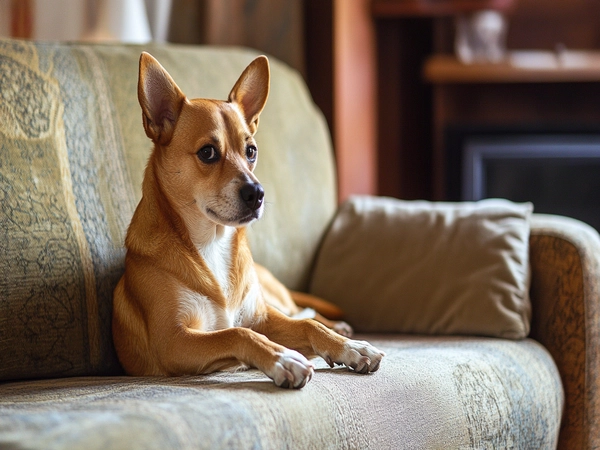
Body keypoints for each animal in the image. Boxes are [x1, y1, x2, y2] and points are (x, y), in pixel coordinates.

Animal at [112, 52, 384, 388]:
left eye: (251, 151)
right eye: (207, 152)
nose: (257, 193)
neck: (212, 241)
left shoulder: (261, 316)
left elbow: (308, 327)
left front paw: (350, 347)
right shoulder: (174, 341)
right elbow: (236, 334)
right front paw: (283, 358)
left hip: (274, 299)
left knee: (304, 313)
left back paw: (340, 327)